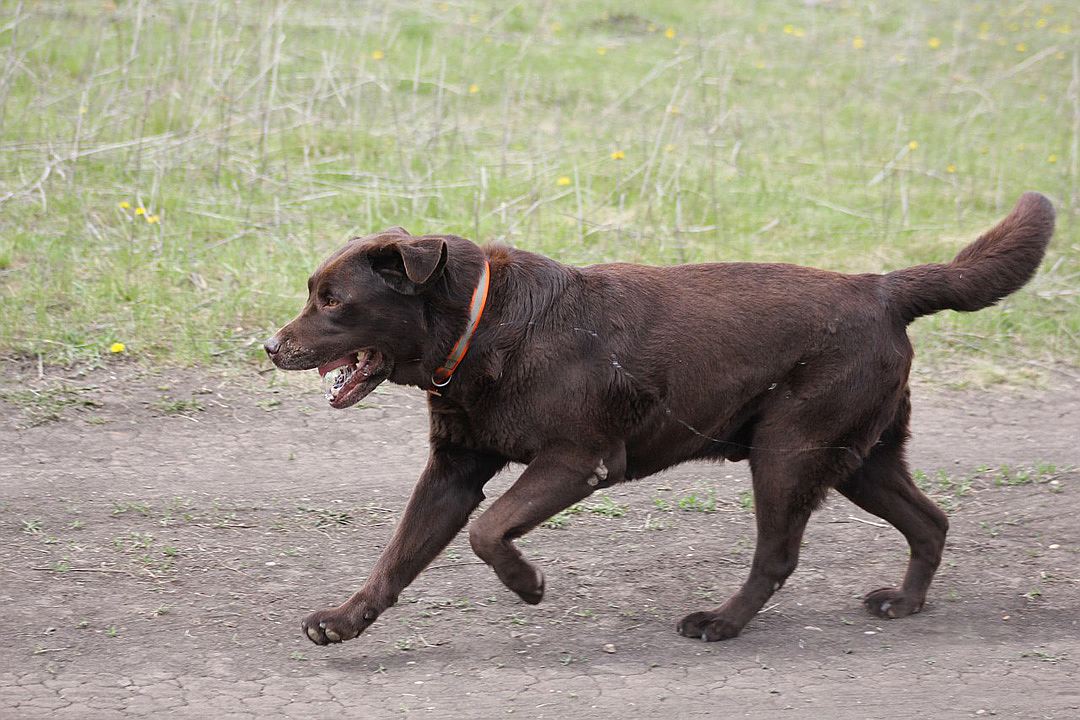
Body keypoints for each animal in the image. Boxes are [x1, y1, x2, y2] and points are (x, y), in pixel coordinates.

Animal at [267, 193, 1054, 647]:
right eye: (312, 292)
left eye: (333, 300)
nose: (271, 346)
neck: (478, 323)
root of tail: (883, 289)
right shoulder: (452, 473)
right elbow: (397, 556)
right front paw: (343, 620)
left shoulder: (578, 460)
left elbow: (490, 532)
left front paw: (527, 584)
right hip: (860, 456)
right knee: (931, 521)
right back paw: (906, 604)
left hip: (789, 450)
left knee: (779, 555)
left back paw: (722, 623)